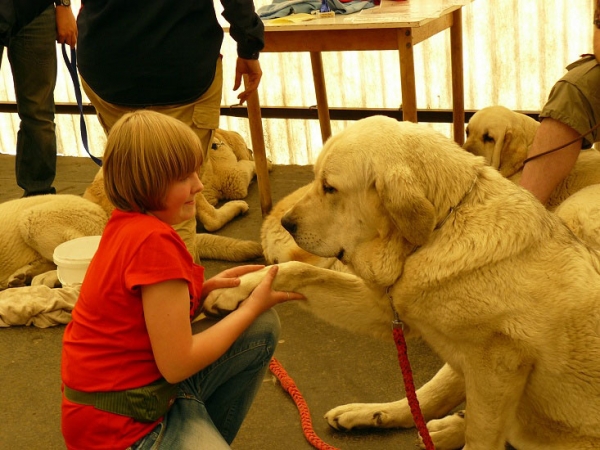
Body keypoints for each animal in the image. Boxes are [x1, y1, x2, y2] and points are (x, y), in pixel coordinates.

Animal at [204, 117, 600, 450]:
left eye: (330, 188)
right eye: (315, 180)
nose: (285, 223)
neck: (440, 229)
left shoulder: (499, 366)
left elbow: (481, 437)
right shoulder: (387, 309)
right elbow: (297, 271)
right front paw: (236, 288)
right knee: (424, 401)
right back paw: (375, 414)